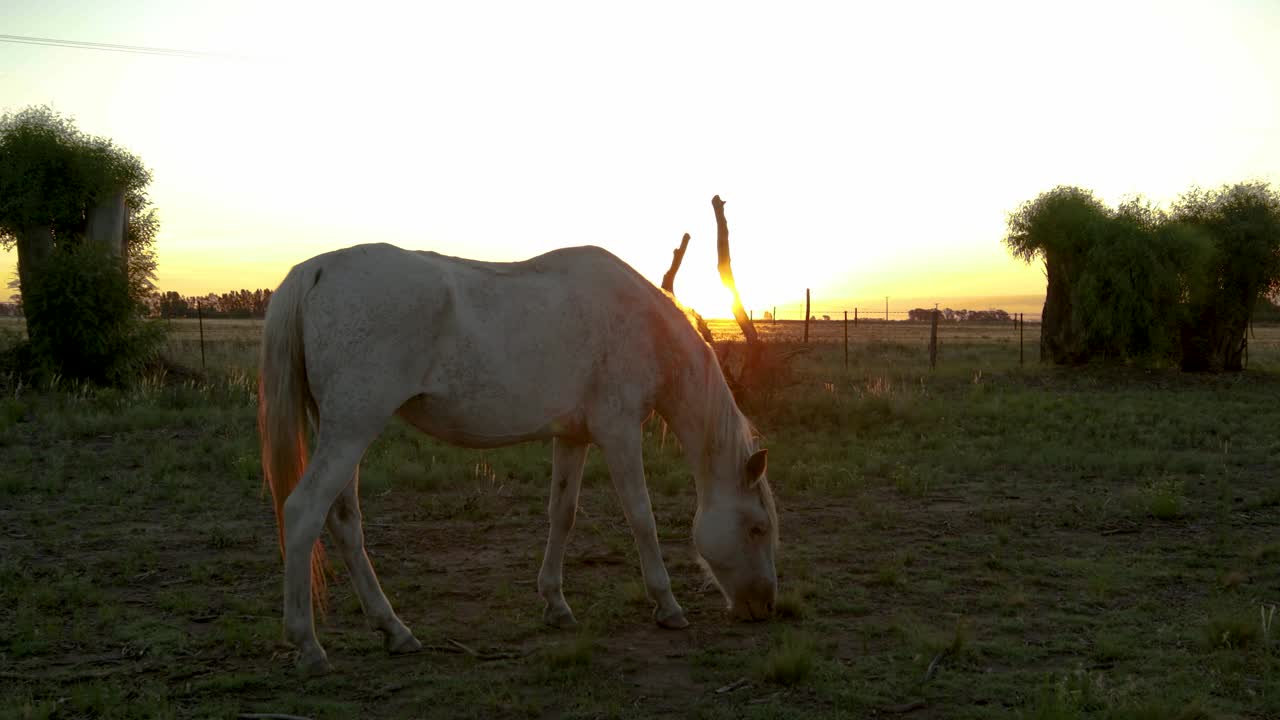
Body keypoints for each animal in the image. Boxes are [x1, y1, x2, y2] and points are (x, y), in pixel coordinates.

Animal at [259, 242, 778, 671]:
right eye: (758, 528)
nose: (766, 607)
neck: (643, 326)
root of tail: (315, 270)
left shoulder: (572, 438)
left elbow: (562, 514)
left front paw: (556, 604)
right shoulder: (620, 434)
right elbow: (641, 518)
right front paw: (668, 606)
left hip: (342, 432)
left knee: (344, 521)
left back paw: (395, 631)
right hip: (352, 429)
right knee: (304, 512)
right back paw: (308, 646)